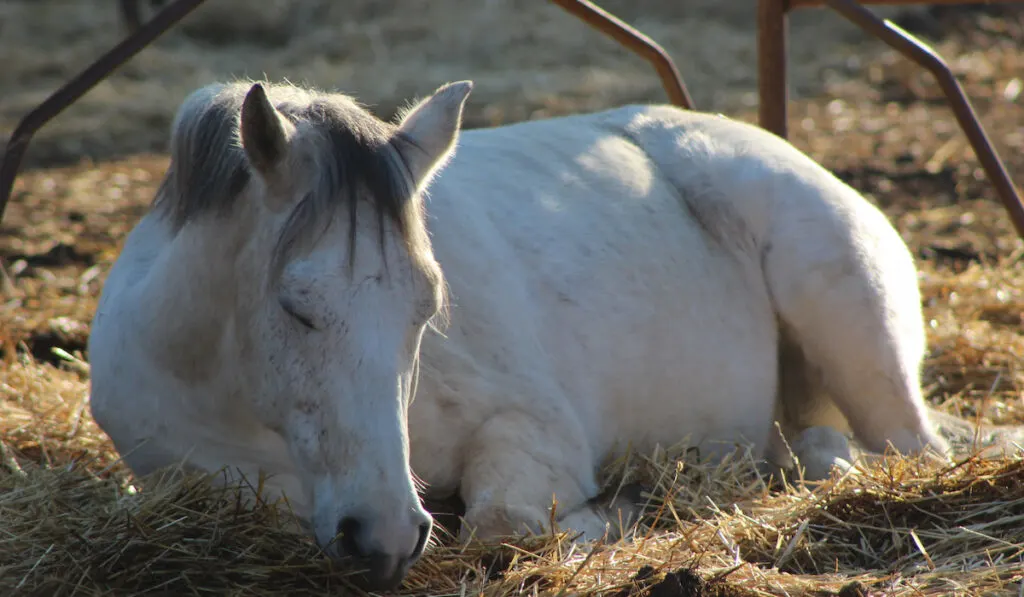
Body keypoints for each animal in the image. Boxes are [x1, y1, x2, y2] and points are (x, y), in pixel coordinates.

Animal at [88, 79, 966, 593]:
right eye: (296, 307)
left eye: (425, 309)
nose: (385, 533)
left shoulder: (532, 428)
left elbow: (505, 522)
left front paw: (619, 510)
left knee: (907, 448)